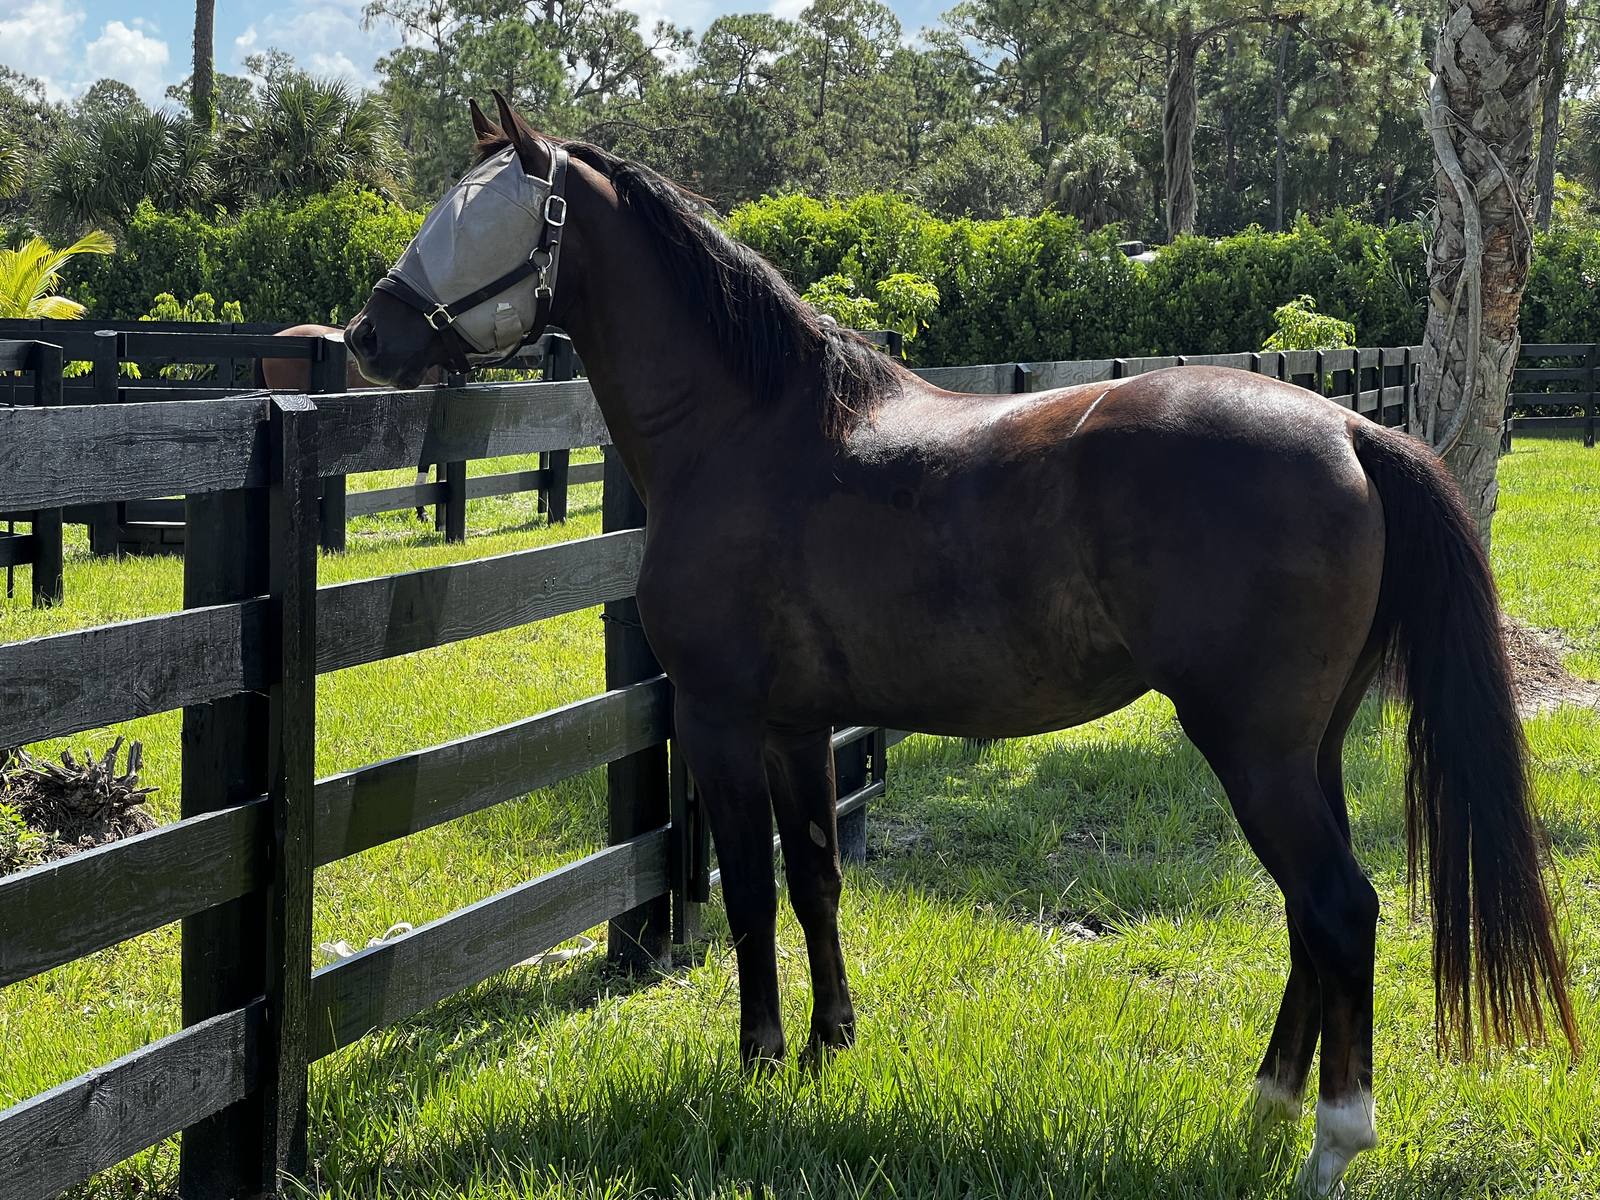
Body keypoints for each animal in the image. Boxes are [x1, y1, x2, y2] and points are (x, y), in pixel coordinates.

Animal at [345, 93, 1577, 1196]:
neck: (751, 431)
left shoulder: (721, 720)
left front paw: (756, 1065)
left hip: (1255, 753)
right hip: (1303, 750)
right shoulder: (797, 727)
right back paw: (1269, 1101)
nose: (366, 335)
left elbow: (749, 894)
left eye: (486, 218)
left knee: (1338, 910)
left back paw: (1330, 1143)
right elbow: (817, 880)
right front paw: (829, 1045)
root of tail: (1350, 428)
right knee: (1305, 919)